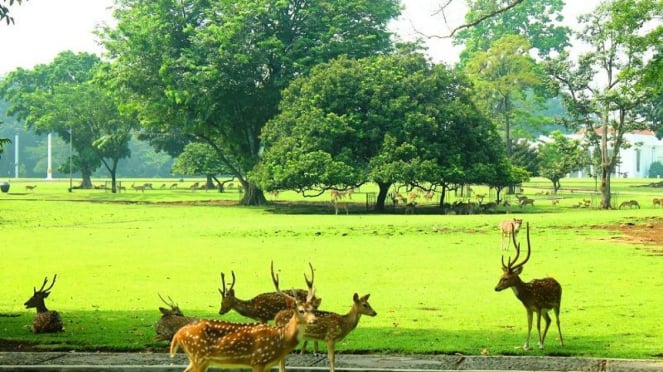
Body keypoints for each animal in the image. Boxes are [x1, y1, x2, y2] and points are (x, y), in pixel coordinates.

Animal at [496, 222, 564, 350]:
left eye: (505, 278)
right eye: (500, 276)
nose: (496, 288)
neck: (527, 295)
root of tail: (557, 281)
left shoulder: (538, 307)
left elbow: (537, 325)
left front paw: (540, 345)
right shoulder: (529, 309)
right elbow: (529, 325)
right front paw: (526, 345)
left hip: (557, 303)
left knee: (557, 320)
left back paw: (561, 342)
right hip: (546, 309)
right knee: (549, 320)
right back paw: (540, 342)